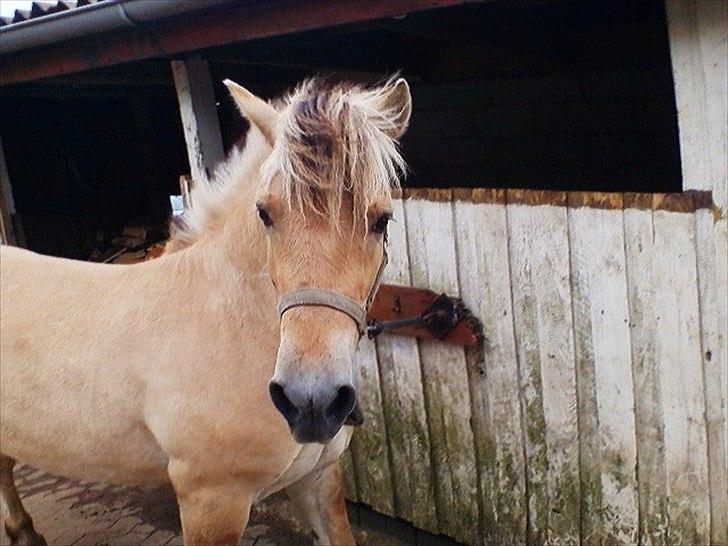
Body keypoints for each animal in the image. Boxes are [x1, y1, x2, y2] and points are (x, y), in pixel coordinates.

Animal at [0, 76, 410, 544]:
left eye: (381, 219)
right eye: (265, 214)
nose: (310, 399)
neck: (231, 326)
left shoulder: (318, 480)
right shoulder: (211, 501)